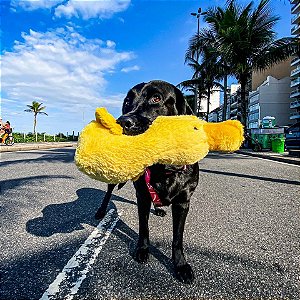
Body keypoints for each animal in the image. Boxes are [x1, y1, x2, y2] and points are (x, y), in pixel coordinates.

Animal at [95, 79, 199, 284]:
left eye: (156, 98)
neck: (164, 168)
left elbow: (177, 238)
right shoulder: (142, 196)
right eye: (127, 101)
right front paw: (142, 249)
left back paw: (159, 208)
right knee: (108, 191)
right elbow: (144, 228)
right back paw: (101, 210)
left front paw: (180, 265)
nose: (122, 122)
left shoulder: (183, 202)